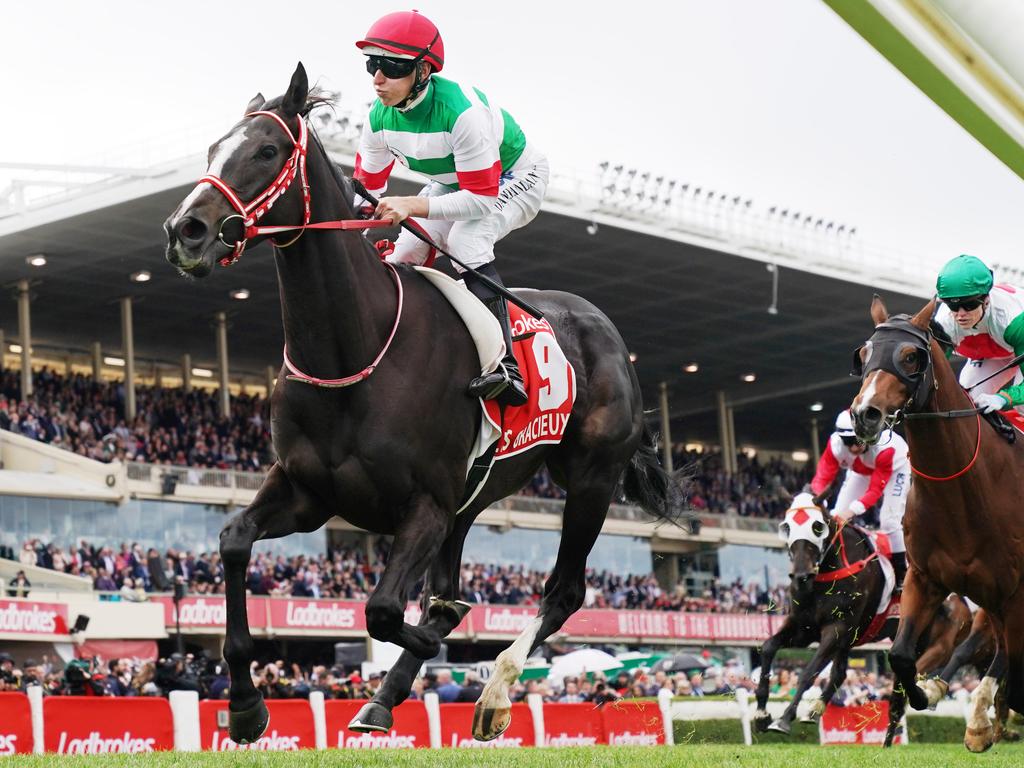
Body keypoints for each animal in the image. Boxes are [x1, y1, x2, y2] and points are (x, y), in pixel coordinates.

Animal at [161, 64, 688, 745]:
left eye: (267, 150)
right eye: (212, 150)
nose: (185, 231)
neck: (353, 348)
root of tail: (611, 335)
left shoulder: (426, 504)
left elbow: (384, 611)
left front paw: (442, 663)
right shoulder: (309, 492)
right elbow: (232, 540)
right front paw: (249, 704)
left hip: (591, 478)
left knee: (563, 592)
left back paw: (494, 692)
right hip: (474, 494)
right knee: (454, 591)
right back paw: (389, 696)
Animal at [753, 495, 966, 741]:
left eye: (817, 527)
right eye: (787, 527)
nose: (801, 577)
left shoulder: (836, 628)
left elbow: (808, 672)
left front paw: (784, 719)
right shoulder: (804, 628)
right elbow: (768, 647)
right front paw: (761, 713)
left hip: (934, 644)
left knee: (898, 693)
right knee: (842, 675)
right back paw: (817, 709)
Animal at [847, 296, 1024, 753]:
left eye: (912, 356)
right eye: (864, 354)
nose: (865, 414)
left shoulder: (1015, 590)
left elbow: (1009, 664)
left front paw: (979, 722)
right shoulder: (924, 578)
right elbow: (900, 654)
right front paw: (927, 691)